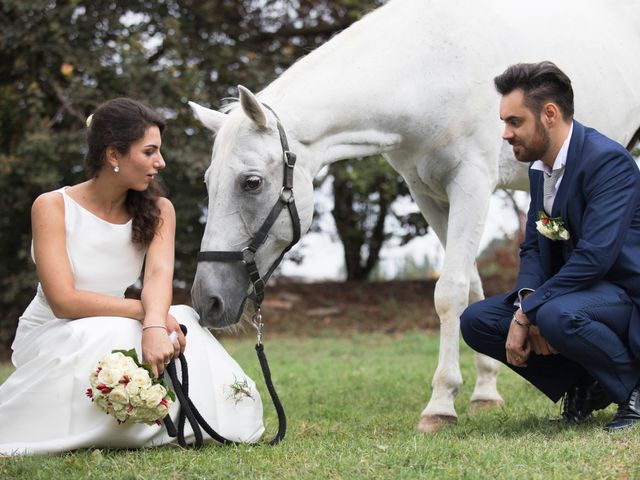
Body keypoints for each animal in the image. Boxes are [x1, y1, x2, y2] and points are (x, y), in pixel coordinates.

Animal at [188, 0, 636, 434]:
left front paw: (440, 404)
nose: (207, 300)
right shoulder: (428, 193)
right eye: (207, 182)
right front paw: (484, 392)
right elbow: (472, 287)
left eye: (251, 182)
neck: (431, 67)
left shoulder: (472, 182)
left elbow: (449, 291)